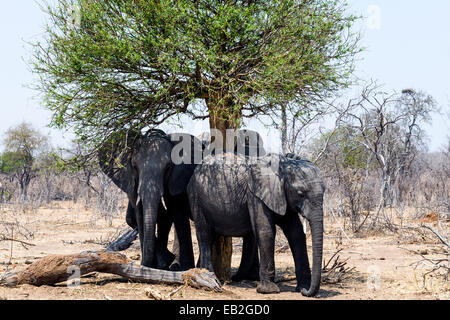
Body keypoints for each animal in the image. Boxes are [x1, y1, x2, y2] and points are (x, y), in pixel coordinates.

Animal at [100, 129, 204, 268]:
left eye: (168, 167)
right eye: (134, 166)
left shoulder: (177, 177)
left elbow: (175, 211)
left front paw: (171, 265)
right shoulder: (130, 178)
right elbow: (140, 214)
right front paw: (154, 264)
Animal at [188, 154, 326, 296]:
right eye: (300, 193)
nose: (305, 292)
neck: (283, 165)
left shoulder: (282, 196)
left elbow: (296, 233)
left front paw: (302, 287)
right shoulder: (255, 195)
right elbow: (266, 232)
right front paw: (268, 290)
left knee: (212, 236)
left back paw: (199, 272)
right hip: (196, 198)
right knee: (204, 234)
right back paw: (209, 275)